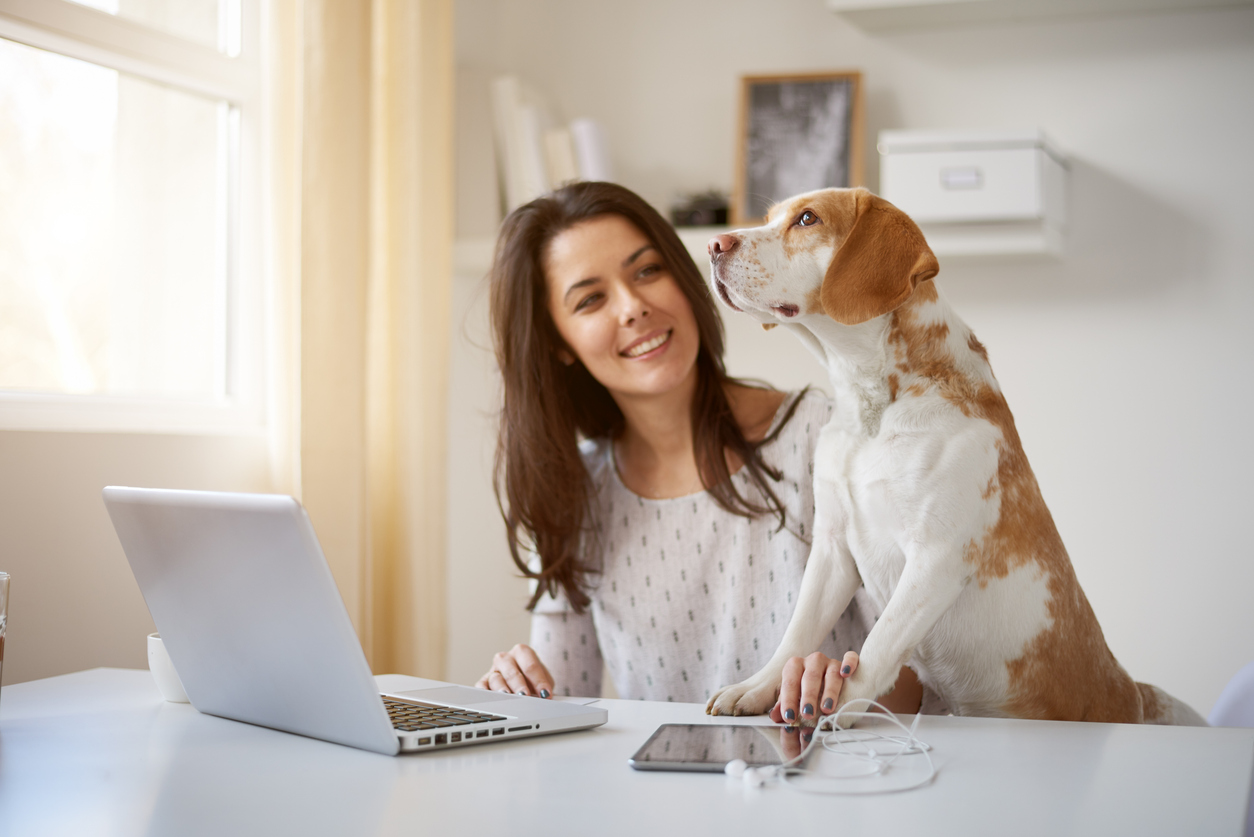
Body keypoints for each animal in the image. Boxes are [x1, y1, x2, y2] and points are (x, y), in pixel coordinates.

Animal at [707, 186, 1203, 722]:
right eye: (770, 216)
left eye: (806, 219)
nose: (713, 244)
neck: (872, 408)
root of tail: (1132, 693)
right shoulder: (833, 547)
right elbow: (797, 634)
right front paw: (756, 688)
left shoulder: (935, 557)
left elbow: (876, 647)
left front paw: (837, 706)